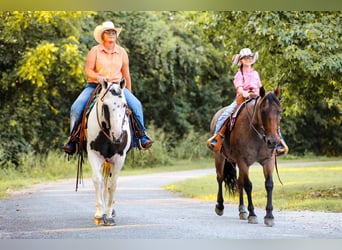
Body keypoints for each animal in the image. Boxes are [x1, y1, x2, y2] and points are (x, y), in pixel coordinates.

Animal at [86, 79, 132, 227]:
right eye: (105, 106)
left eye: (124, 105)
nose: (118, 135)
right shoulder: (93, 154)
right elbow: (97, 180)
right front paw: (99, 215)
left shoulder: (119, 158)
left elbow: (113, 184)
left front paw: (109, 215)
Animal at [210, 86, 282, 227]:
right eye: (263, 111)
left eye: (279, 112)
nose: (273, 141)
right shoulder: (243, 161)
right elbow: (248, 185)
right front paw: (252, 214)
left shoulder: (268, 160)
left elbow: (269, 184)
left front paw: (269, 216)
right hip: (219, 157)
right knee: (220, 178)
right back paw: (220, 206)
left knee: (239, 182)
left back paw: (242, 210)